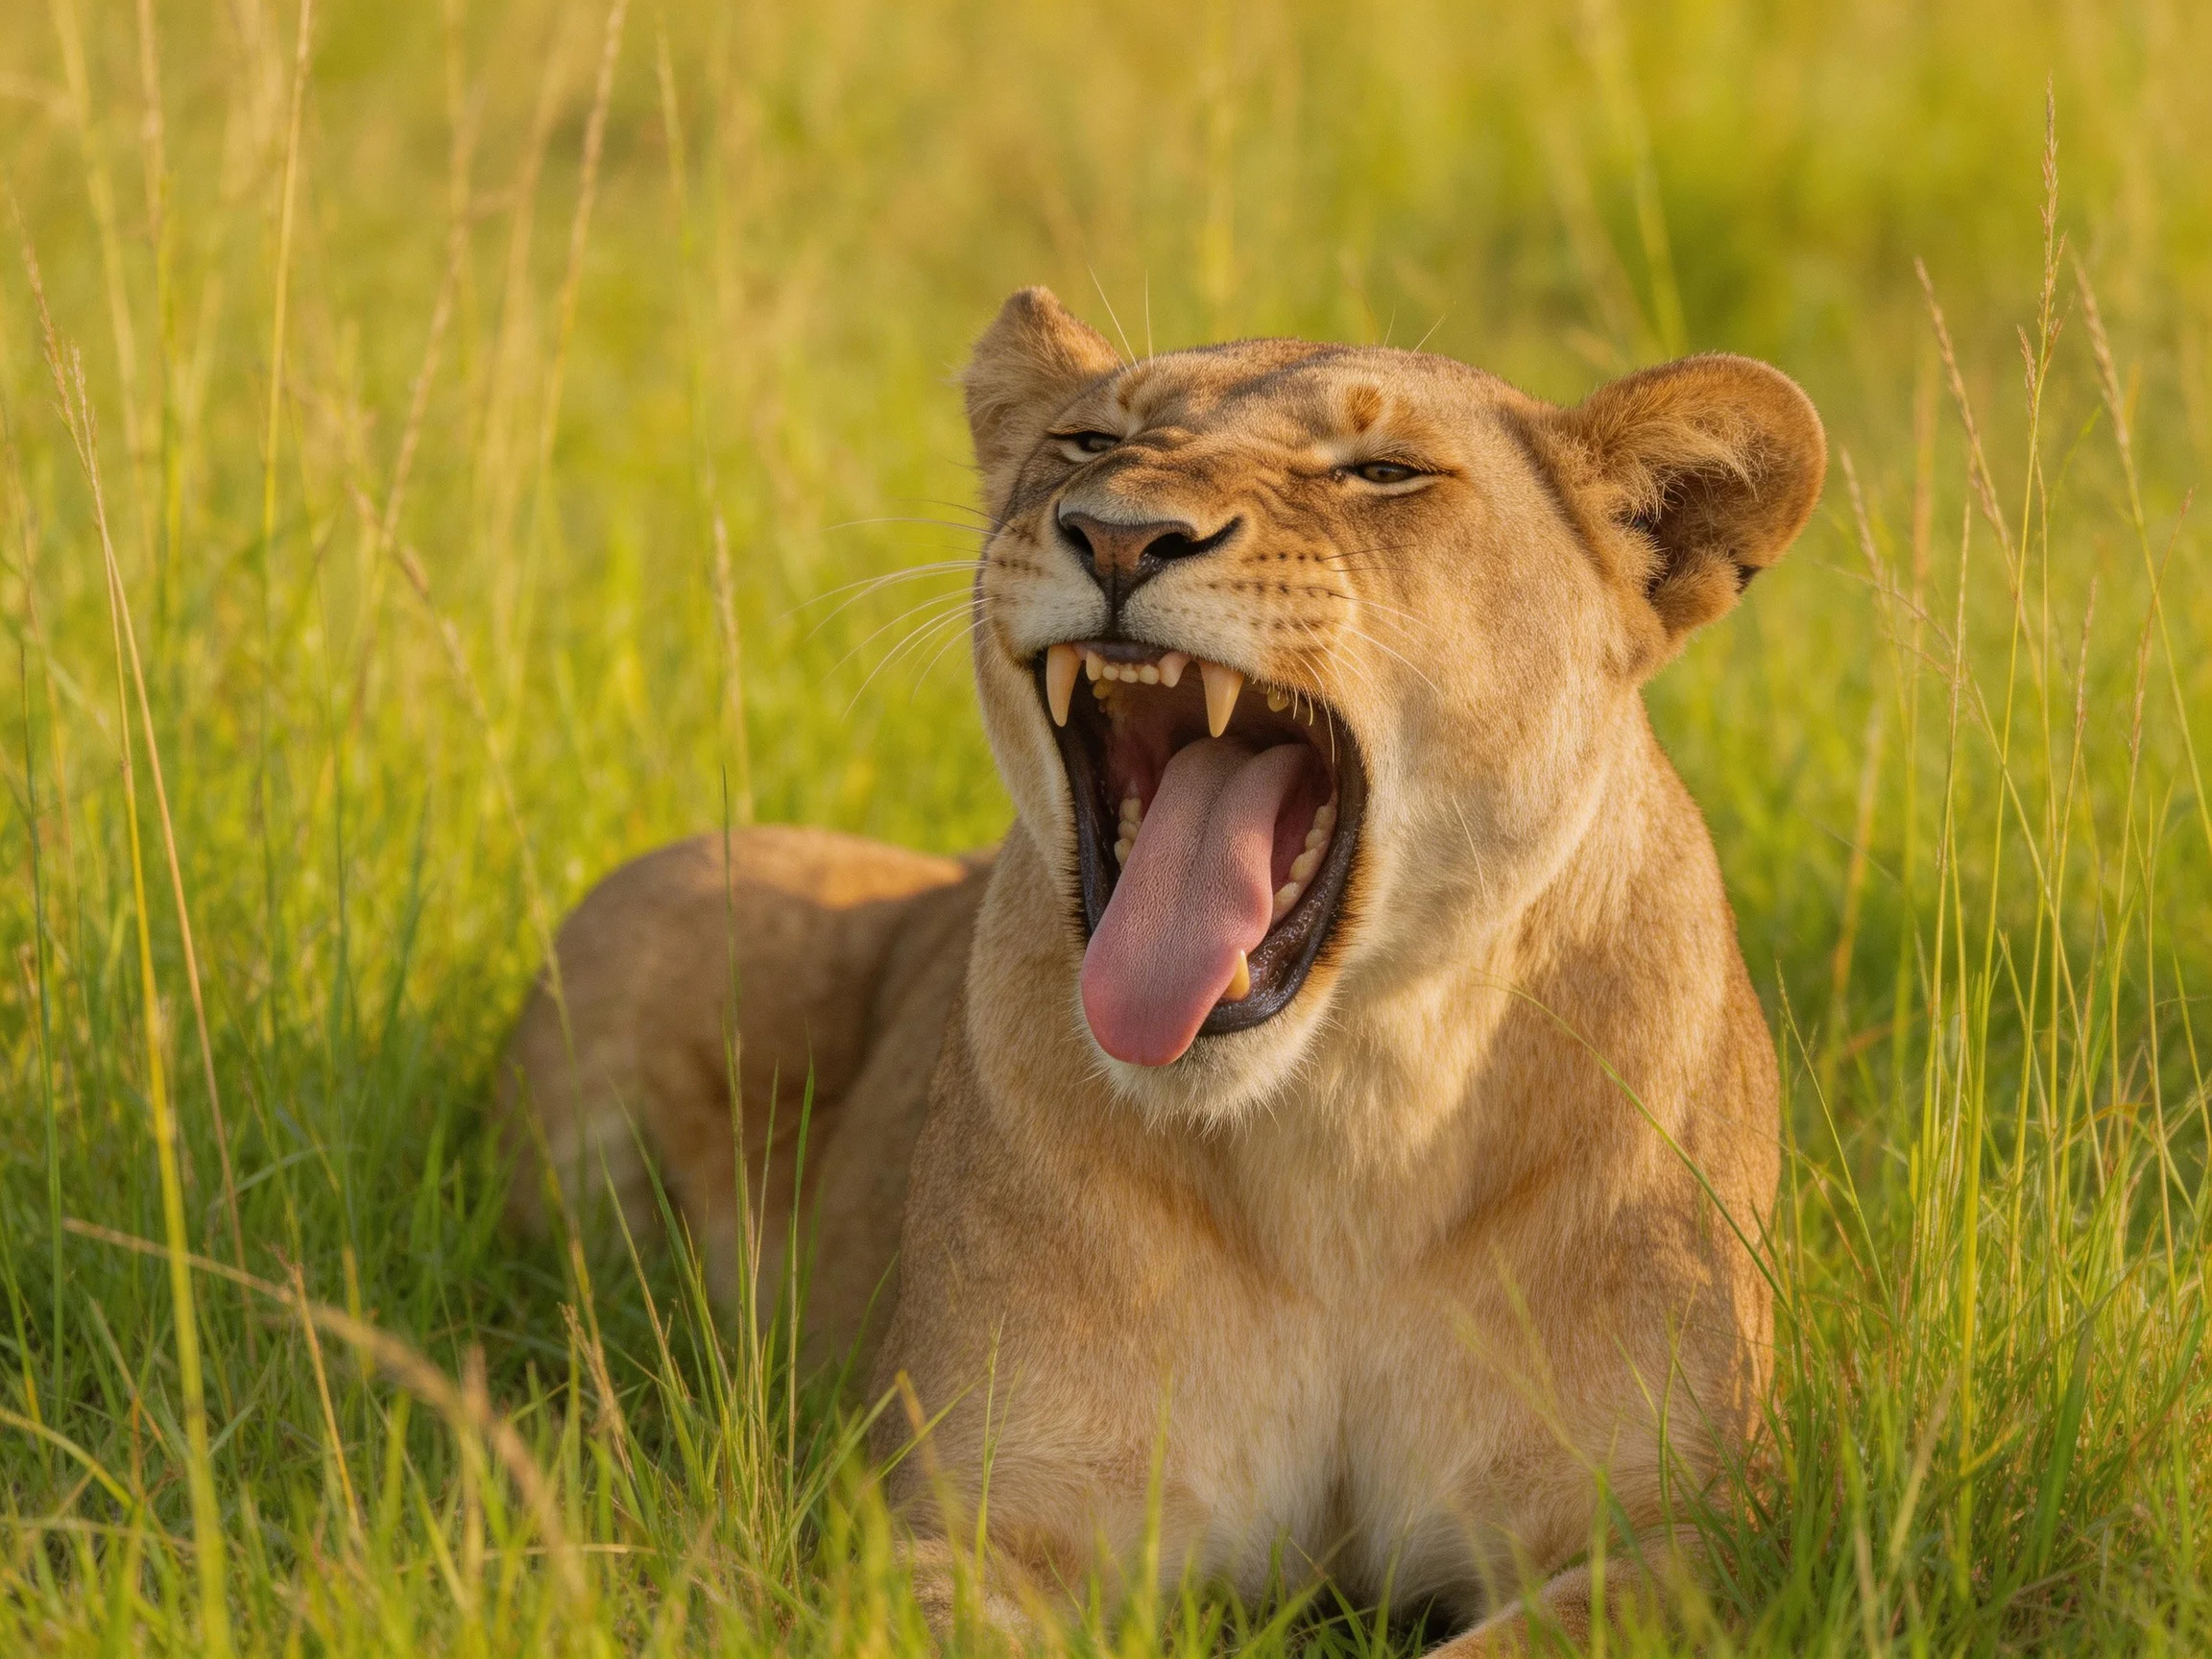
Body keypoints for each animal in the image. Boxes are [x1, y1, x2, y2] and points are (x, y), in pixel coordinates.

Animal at [500, 287, 1824, 1650]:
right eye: (1090, 442)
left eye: (1383, 472)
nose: (1119, 536)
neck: (1347, 1133)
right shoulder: (975, 1512)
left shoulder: (1692, 1532)